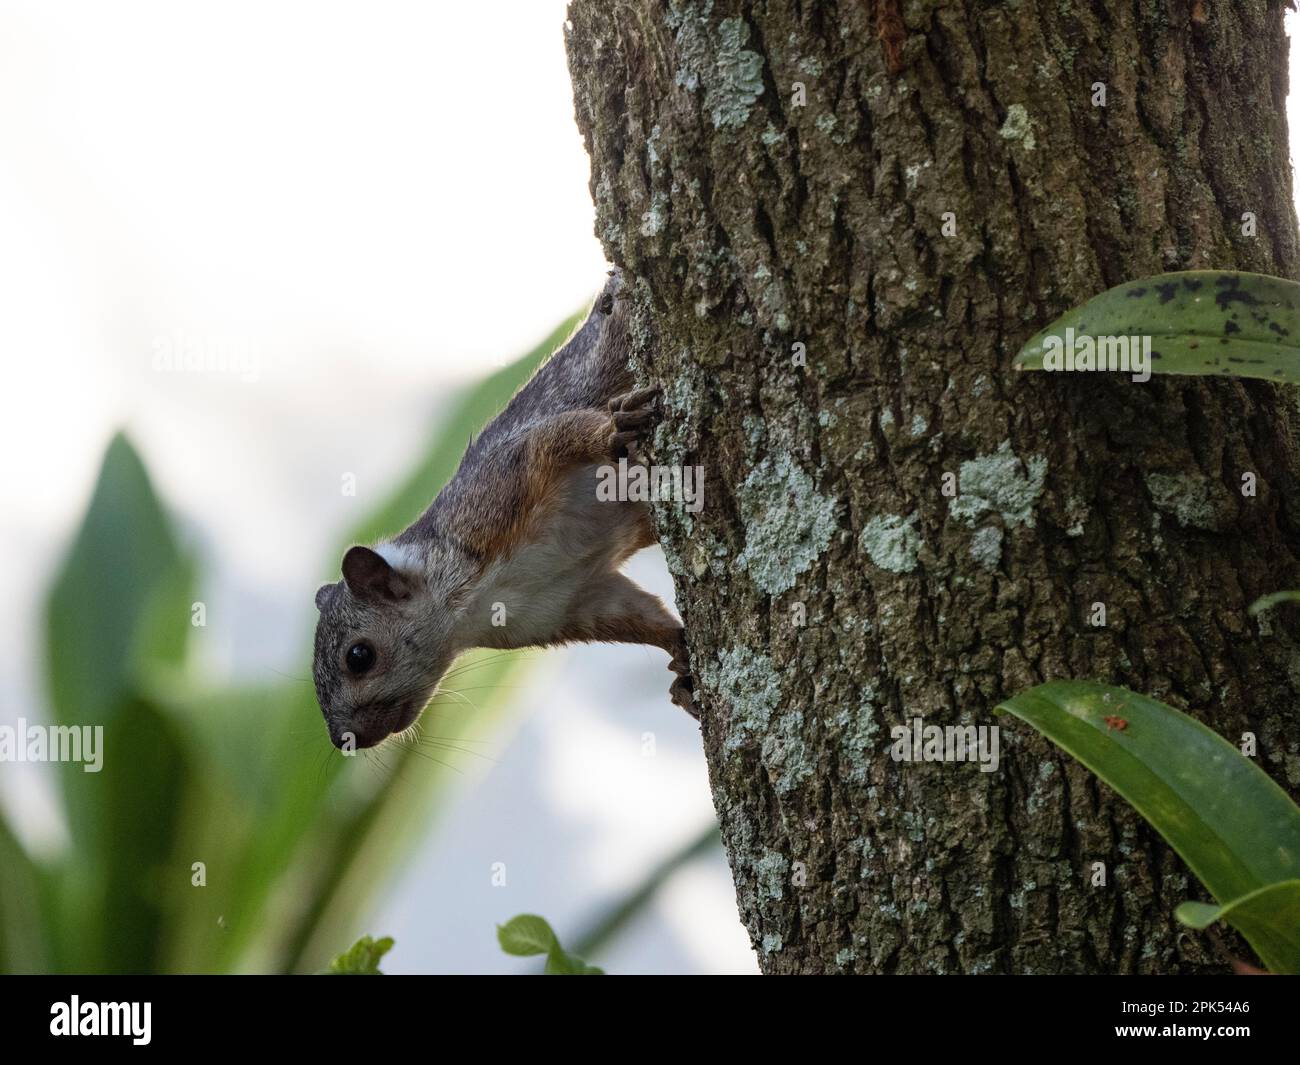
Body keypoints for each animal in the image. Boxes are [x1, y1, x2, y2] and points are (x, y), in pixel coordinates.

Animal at [310, 270, 696, 754]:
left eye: (359, 656)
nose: (346, 740)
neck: (472, 604)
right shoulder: (571, 602)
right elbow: (640, 616)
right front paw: (680, 656)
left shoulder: (501, 488)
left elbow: (561, 436)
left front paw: (615, 431)